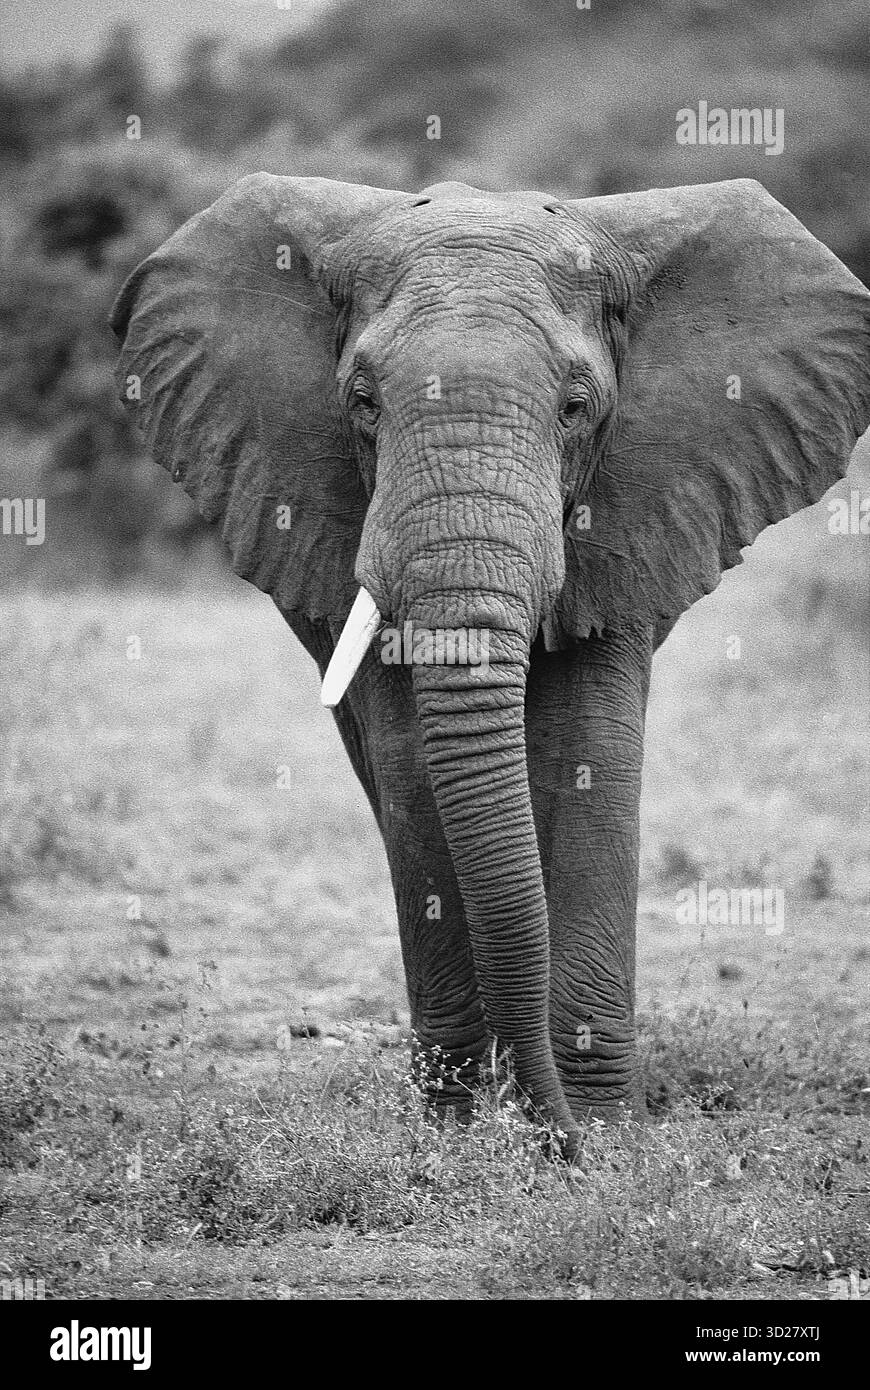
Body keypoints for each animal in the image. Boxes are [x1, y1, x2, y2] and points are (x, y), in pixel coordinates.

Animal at [110, 174, 870, 1158]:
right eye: (362, 402)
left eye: (576, 407)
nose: (556, 1143)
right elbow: (412, 769)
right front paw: (464, 1134)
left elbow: (592, 756)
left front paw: (603, 1134)